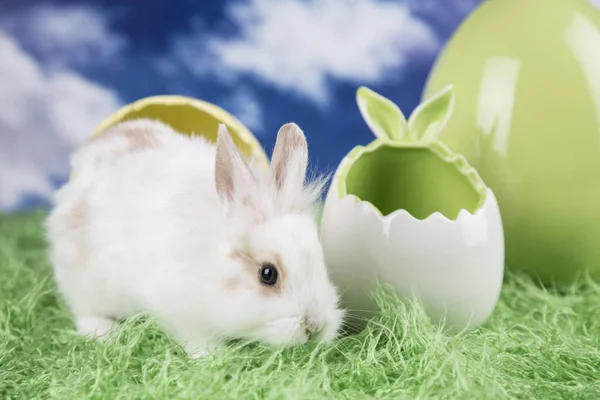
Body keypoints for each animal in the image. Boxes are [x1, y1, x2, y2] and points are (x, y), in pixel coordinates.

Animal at [44, 117, 344, 358]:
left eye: (322, 264)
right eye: (267, 274)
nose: (315, 325)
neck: (209, 261)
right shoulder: (180, 312)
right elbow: (196, 338)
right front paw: (215, 357)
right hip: (83, 283)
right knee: (84, 311)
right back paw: (105, 333)